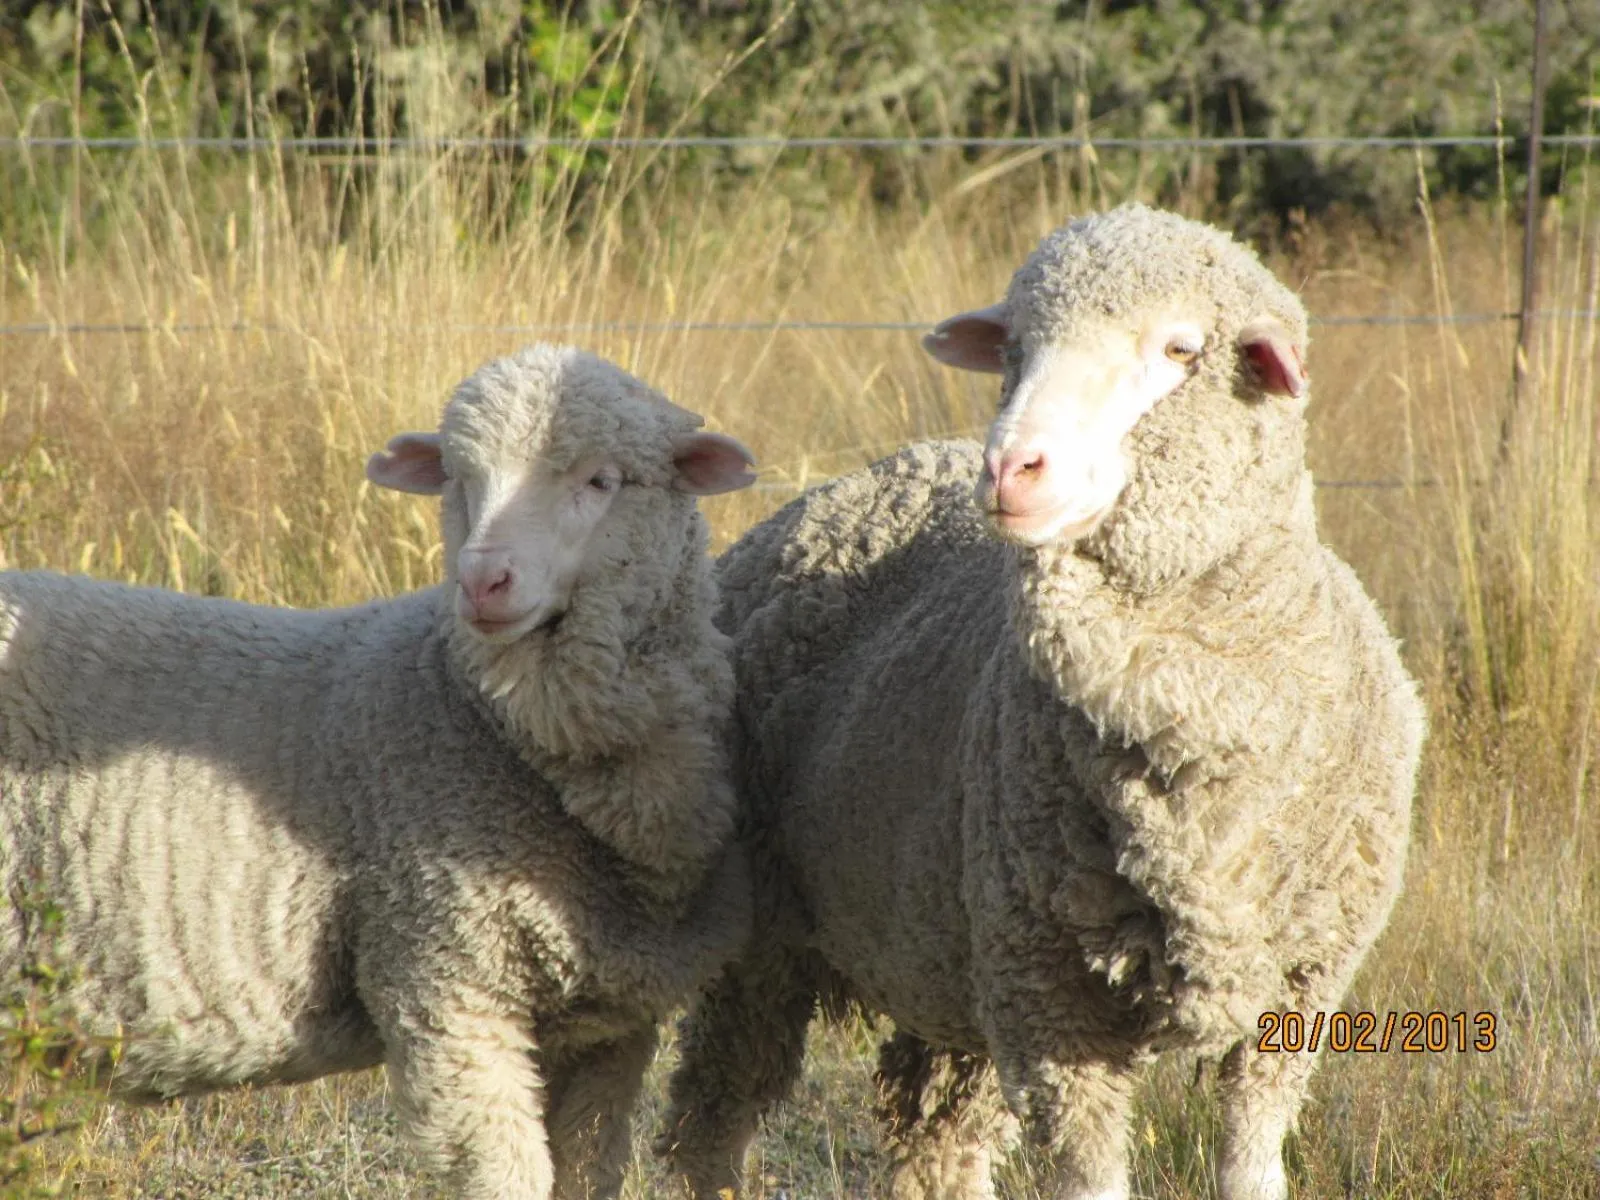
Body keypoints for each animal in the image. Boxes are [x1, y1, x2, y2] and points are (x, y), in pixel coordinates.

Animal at [0, 343, 759, 1200]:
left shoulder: (610, 1025)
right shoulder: (447, 981)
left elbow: (586, 1170)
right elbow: (506, 1175)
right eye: (459, 478)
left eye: (602, 480)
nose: (482, 581)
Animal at [658, 204, 1425, 1200]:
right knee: (713, 1118)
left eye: (1181, 349)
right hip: (766, 940)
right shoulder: (1056, 1011)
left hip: (952, 961)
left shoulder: (1293, 1001)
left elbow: (1252, 1167)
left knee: (936, 1141)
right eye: (1014, 347)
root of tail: (856, 480)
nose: (1010, 468)